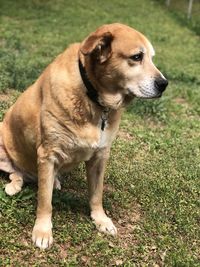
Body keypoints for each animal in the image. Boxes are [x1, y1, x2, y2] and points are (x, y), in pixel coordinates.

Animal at [0, 23, 167, 249]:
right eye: (137, 57)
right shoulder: (47, 154)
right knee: (14, 173)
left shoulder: (100, 156)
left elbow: (96, 194)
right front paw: (42, 230)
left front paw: (101, 219)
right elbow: (45, 201)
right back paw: (14, 187)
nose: (164, 84)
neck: (94, 97)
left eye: (151, 57)